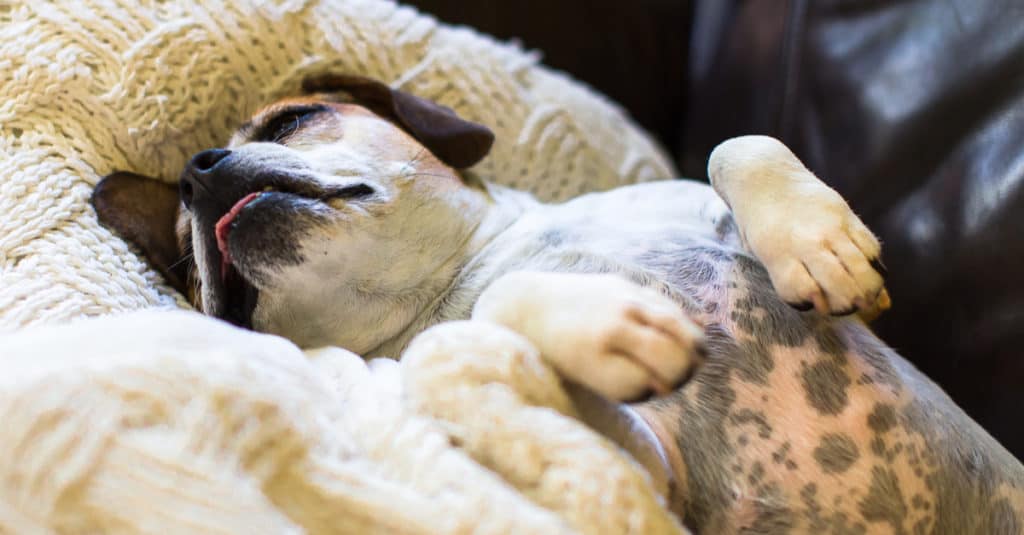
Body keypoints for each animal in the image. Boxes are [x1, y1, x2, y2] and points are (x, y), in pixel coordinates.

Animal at [92, 74, 1019, 532]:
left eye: (291, 120)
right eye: (187, 261)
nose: (198, 173)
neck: (454, 269)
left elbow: (735, 143)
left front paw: (819, 244)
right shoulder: (647, 473)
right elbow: (485, 323)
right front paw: (608, 325)